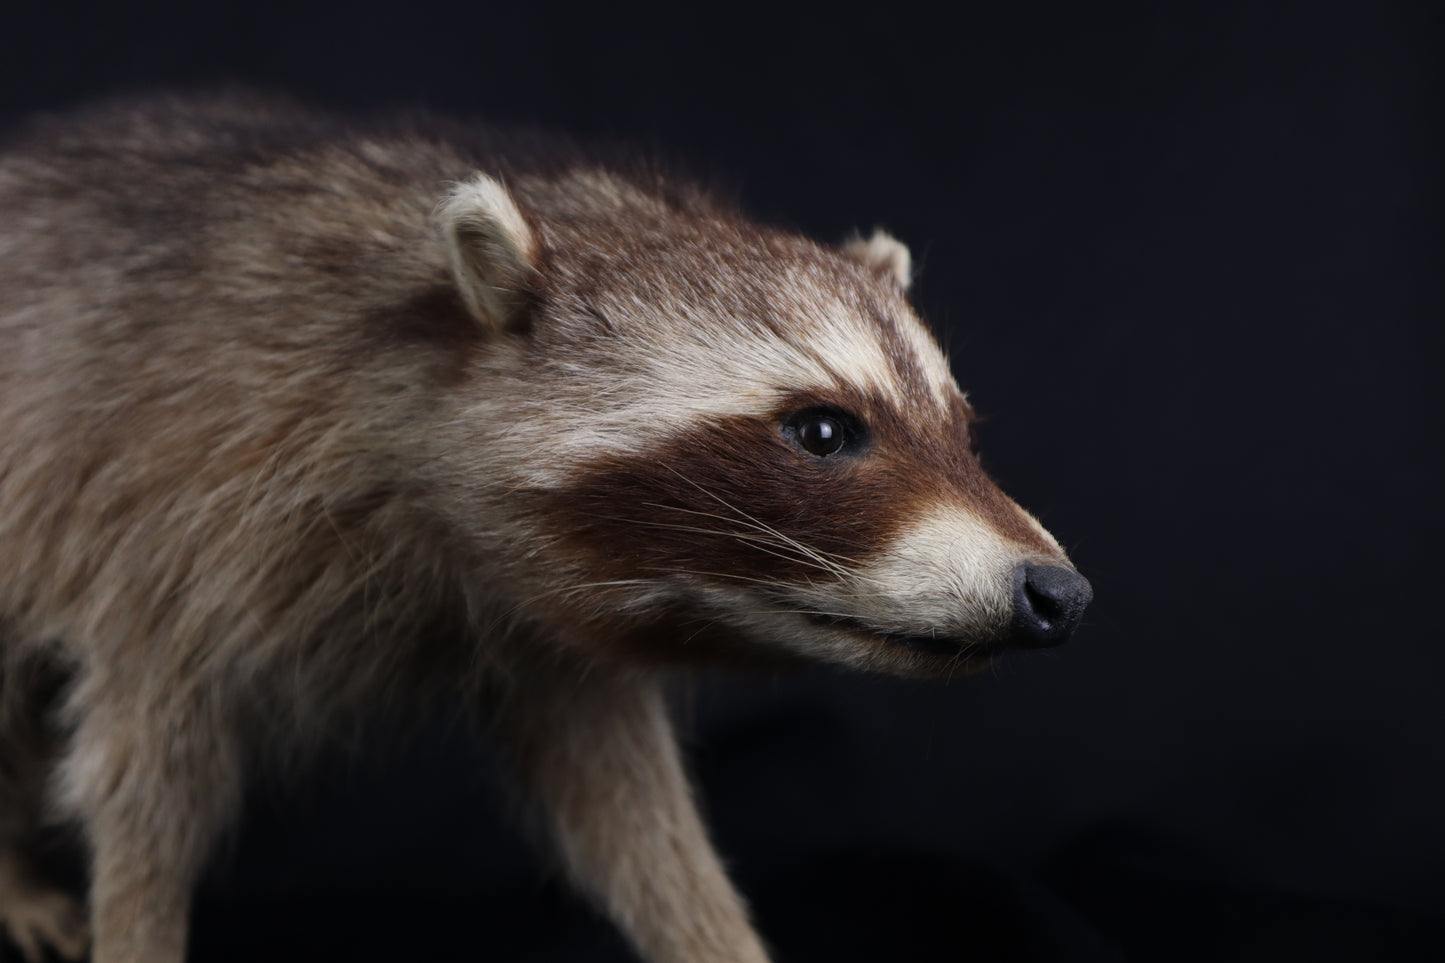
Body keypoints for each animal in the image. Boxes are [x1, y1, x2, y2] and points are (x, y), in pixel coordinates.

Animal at [0, 94, 1091, 963]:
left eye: (961, 430)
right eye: (822, 431)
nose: (1059, 592)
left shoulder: (545, 615)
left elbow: (626, 806)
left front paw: (711, 933)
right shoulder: (165, 504)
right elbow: (145, 775)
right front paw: (135, 929)